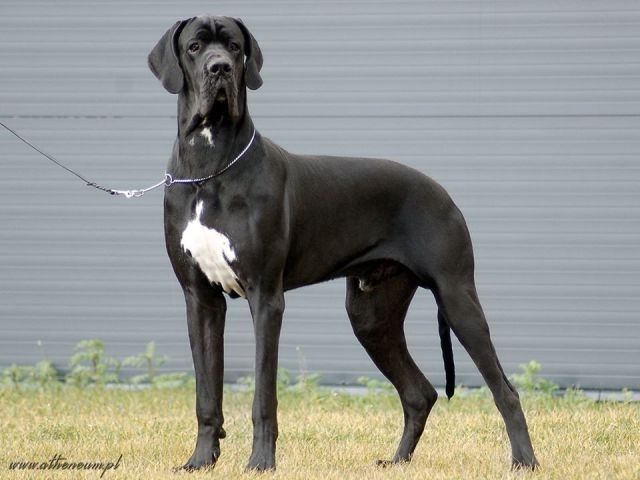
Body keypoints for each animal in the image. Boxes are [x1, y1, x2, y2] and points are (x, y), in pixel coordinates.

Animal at [148, 15, 539, 472]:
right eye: (195, 47)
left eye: (234, 47)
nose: (220, 68)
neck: (209, 167)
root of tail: (442, 191)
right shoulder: (201, 299)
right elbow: (206, 394)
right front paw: (200, 461)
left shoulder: (266, 297)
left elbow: (264, 395)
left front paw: (261, 463)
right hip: (371, 315)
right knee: (419, 392)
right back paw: (398, 461)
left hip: (458, 298)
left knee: (504, 390)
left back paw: (525, 462)